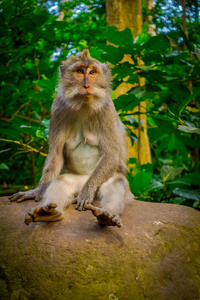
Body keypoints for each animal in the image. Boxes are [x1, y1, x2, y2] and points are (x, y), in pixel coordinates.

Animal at [10, 49, 134, 227]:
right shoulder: (57, 109)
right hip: (77, 180)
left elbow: (111, 155)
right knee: (62, 181)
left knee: (116, 181)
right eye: (80, 71)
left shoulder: (107, 111)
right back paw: (48, 213)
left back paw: (107, 215)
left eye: (92, 72)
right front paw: (37, 191)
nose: (87, 85)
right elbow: (55, 155)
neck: (83, 104)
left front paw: (87, 193)